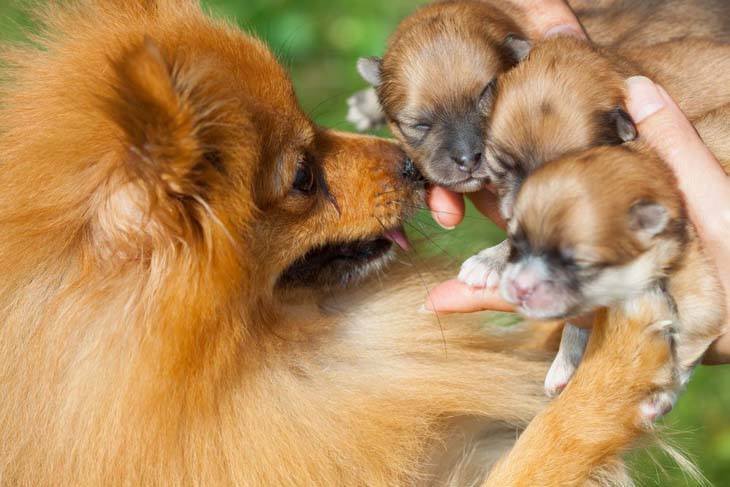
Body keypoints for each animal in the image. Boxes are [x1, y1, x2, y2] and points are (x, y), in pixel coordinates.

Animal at [504, 142, 724, 420]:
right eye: (515, 243)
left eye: (578, 264)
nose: (519, 288)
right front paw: (563, 365)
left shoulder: (702, 296)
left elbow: (682, 352)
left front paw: (659, 398)